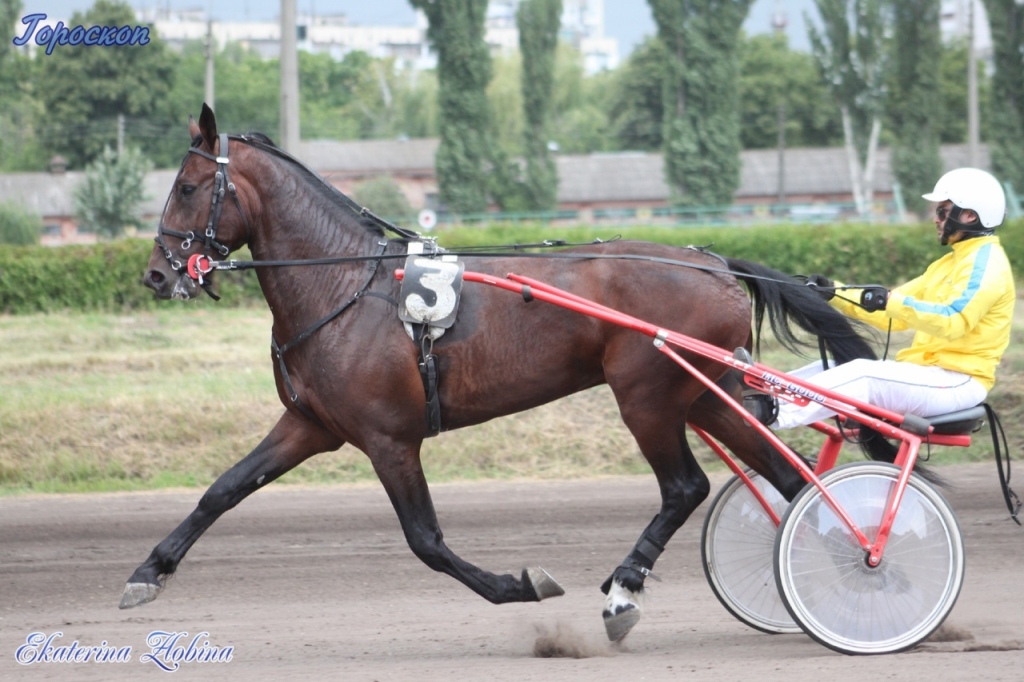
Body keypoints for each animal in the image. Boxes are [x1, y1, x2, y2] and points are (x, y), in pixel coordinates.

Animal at [125, 103, 880, 638]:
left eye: (187, 186)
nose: (157, 273)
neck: (345, 283)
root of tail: (715, 262)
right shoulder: (311, 423)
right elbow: (222, 491)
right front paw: (147, 571)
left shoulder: (388, 439)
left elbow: (426, 541)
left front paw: (521, 585)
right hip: (705, 392)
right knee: (789, 478)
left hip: (647, 394)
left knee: (686, 487)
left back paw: (625, 587)